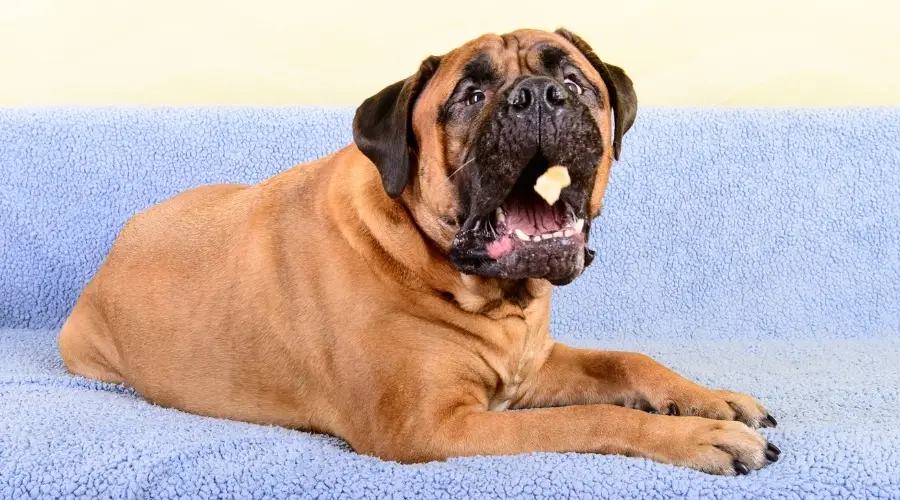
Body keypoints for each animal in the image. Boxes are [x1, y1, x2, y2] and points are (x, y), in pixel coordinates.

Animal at [61, 28, 780, 476]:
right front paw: (696, 435)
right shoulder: (434, 427)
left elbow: (627, 361)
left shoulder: (531, 369)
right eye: (470, 94)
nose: (540, 96)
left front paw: (709, 399)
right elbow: (587, 418)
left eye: (575, 81)